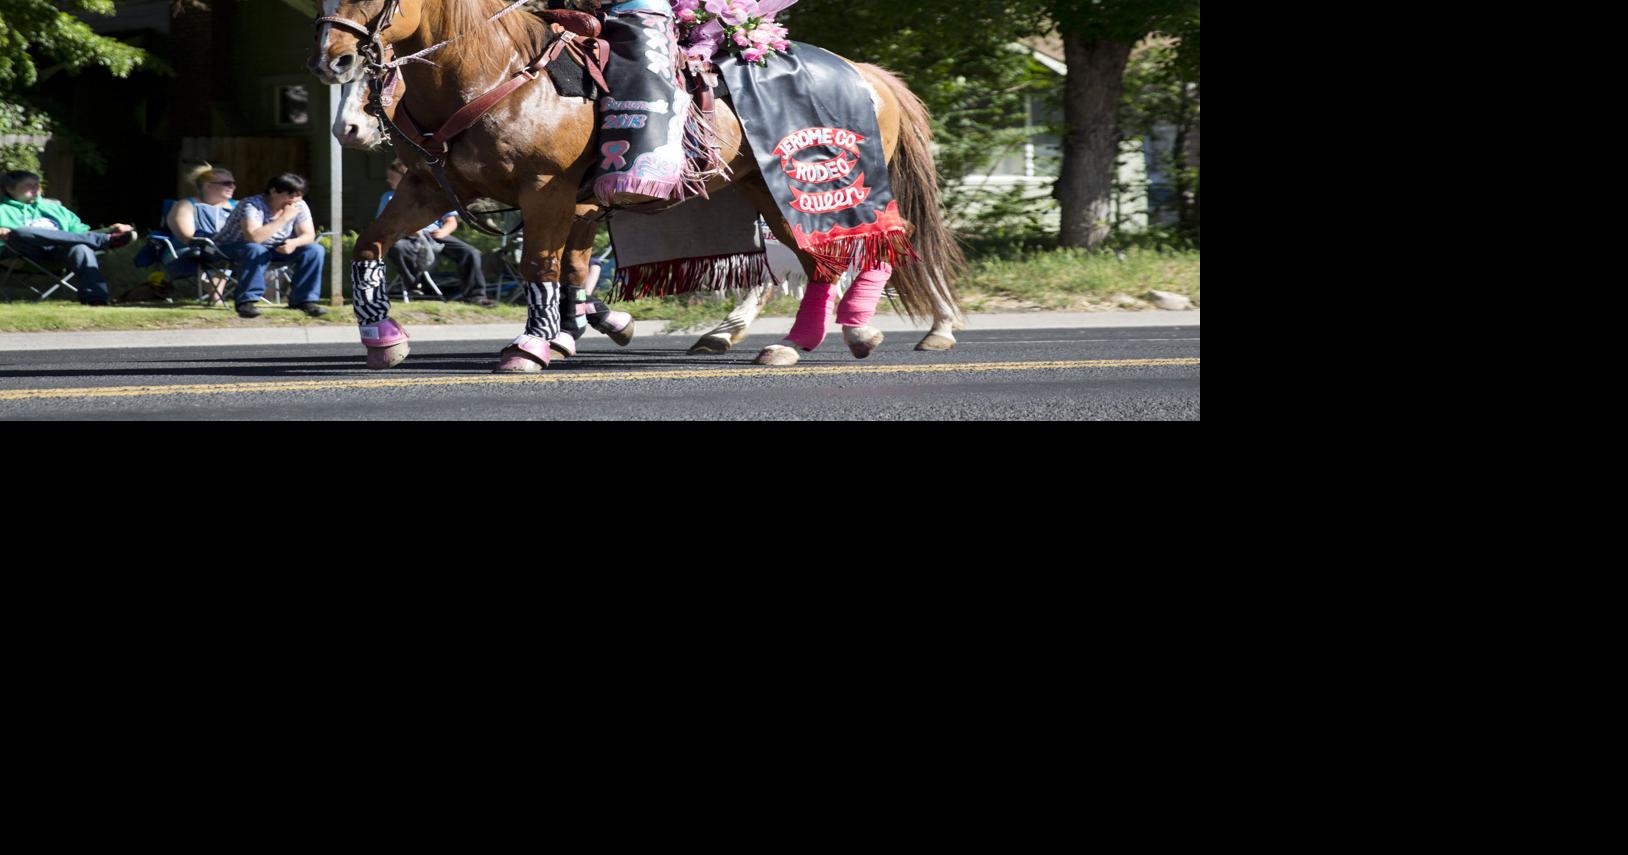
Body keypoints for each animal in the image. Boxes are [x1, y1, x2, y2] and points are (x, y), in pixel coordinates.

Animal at [310, 2, 957, 369]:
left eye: (379, 75)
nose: (333, 60)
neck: (495, 77)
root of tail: (862, 71)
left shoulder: (550, 191)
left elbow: (543, 268)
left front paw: (534, 345)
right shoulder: (428, 187)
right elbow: (370, 245)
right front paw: (382, 336)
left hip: (818, 185)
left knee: (872, 245)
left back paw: (870, 327)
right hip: (768, 191)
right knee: (820, 260)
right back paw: (794, 342)